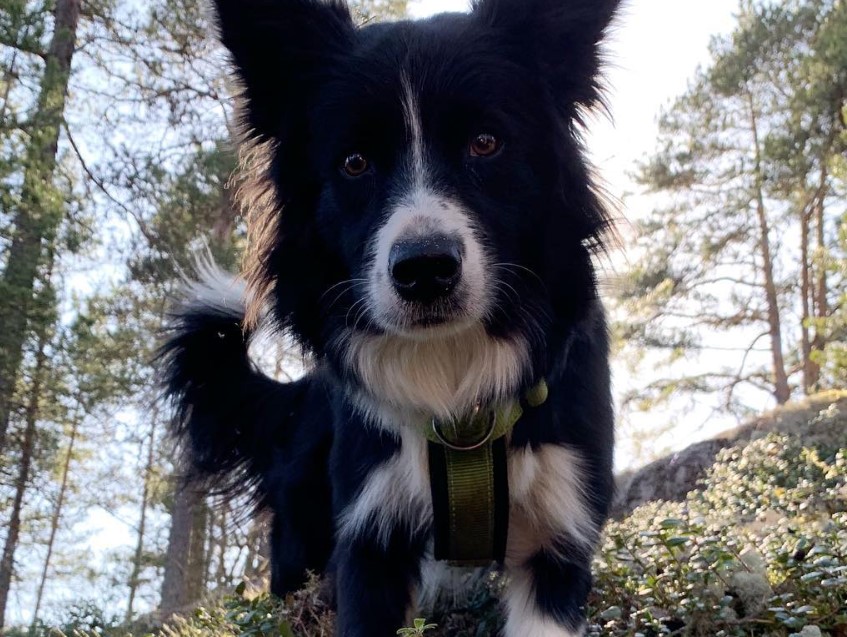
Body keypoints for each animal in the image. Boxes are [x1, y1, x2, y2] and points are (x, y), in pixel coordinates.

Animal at [161, 2, 624, 632]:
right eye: (354, 162)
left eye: (486, 143)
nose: (425, 270)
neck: (452, 379)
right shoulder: (370, 533)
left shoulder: (561, 533)